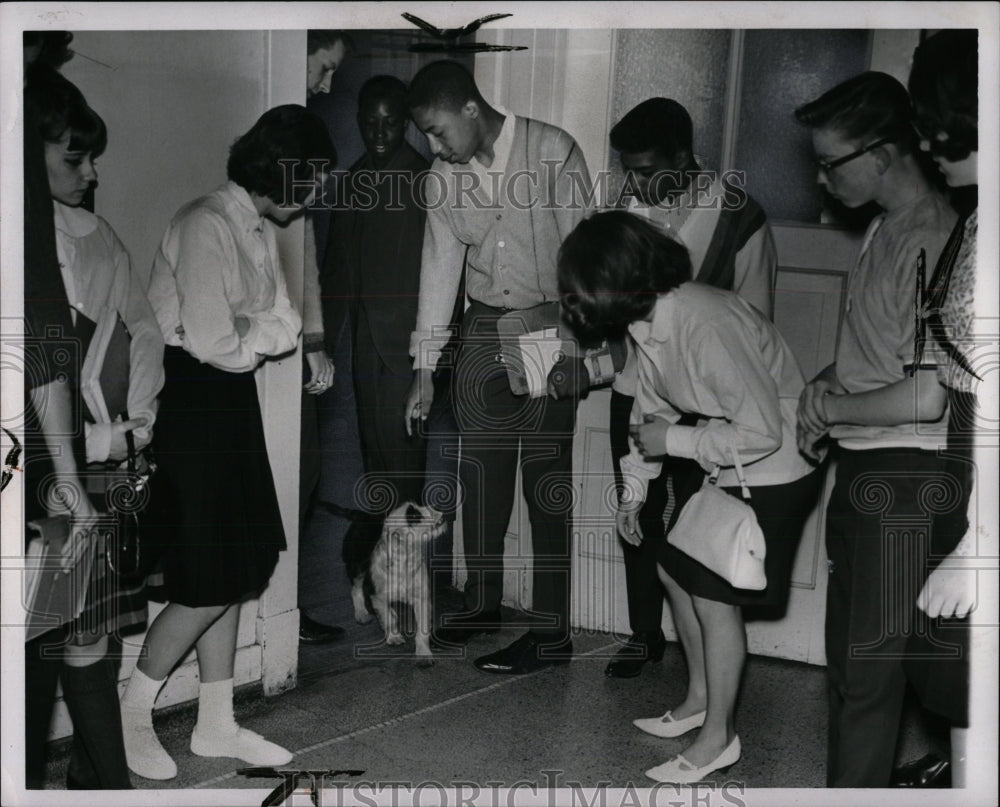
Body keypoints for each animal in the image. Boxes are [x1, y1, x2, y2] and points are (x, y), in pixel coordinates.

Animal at [344, 502, 446, 664]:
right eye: (414, 515)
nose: (438, 506)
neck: (405, 559)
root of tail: (361, 515)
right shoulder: (378, 596)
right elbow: (388, 618)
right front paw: (394, 637)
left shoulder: (422, 599)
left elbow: (422, 630)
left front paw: (423, 654)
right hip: (357, 566)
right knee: (356, 589)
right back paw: (361, 613)